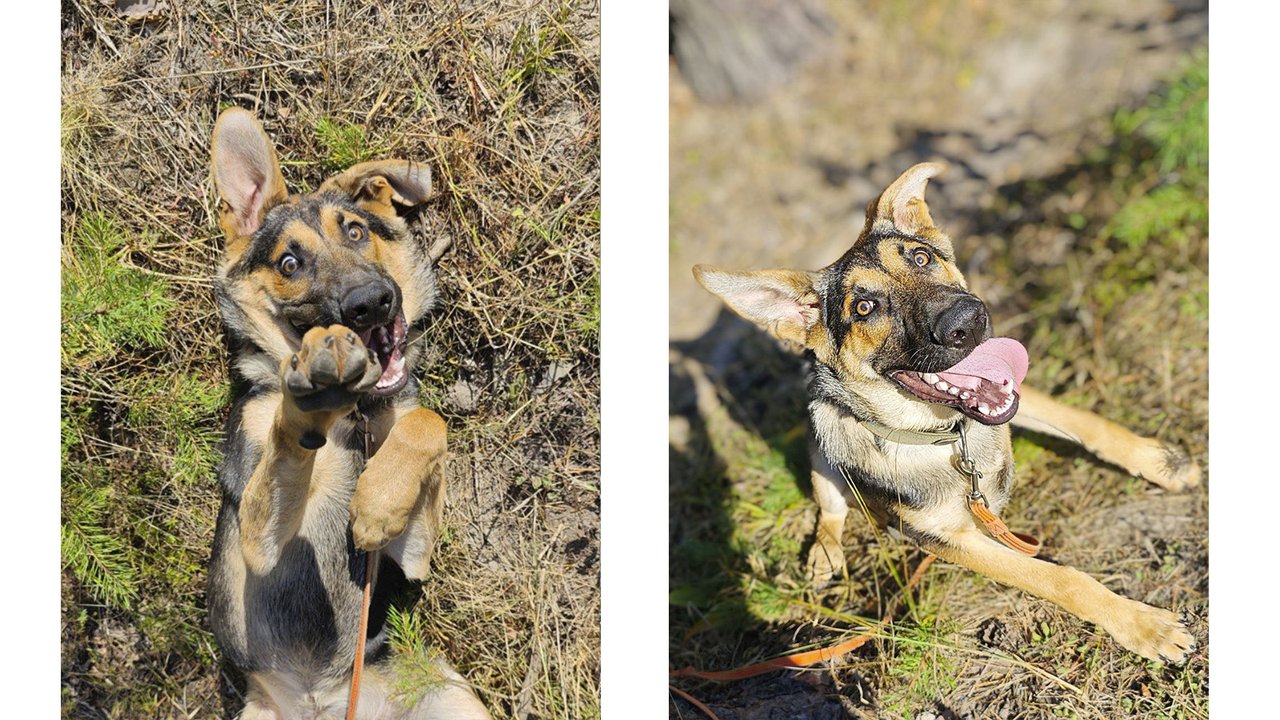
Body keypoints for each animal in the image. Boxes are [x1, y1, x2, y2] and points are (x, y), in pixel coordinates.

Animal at [207, 107, 491, 717]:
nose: (369, 303)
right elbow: (285, 439)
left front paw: (379, 502)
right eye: (289, 262)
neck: (352, 420)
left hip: (451, 694)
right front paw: (307, 394)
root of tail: (323, 701)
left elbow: (428, 420)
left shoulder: (412, 555)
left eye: (357, 231)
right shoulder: (260, 539)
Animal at [691, 162, 1198, 661]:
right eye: (864, 307)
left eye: (920, 258)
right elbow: (1059, 577)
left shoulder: (1007, 394)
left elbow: (1090, 424)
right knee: (830, 505)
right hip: (824, 440)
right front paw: (1144, 625)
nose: (967, 323)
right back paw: (824, 555)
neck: (947, 434)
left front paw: (1163, 464)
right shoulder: (951, 539)